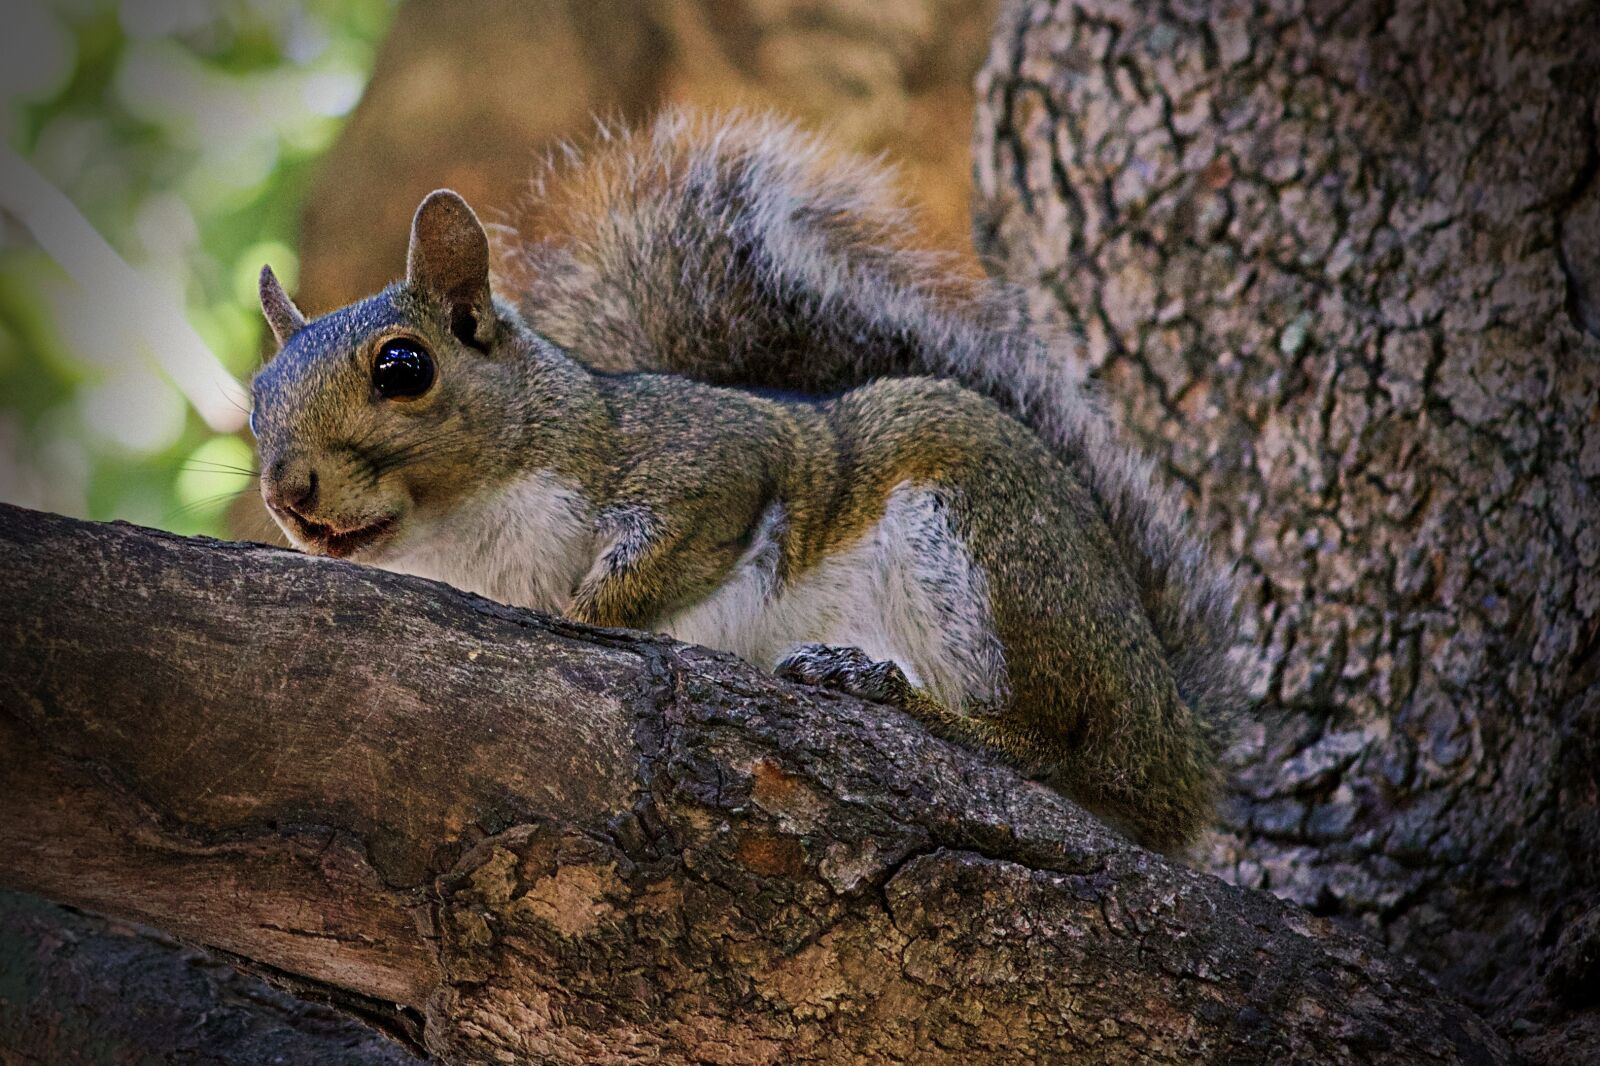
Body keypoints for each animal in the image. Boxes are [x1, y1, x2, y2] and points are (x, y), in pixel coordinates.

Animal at [249, 110, 1248, 852]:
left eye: (404, 367)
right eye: (255, 402)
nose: (286, 495)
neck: (466, 537)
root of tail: (1176, 738)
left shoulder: (709, 461)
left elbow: (664, 554)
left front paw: (588, 615)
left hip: (989, 543)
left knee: (1056, 748)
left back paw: (888, 691)